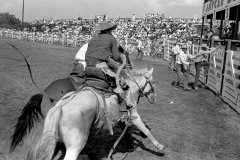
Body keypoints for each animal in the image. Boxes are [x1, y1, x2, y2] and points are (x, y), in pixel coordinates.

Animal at [26, 68, 165, 160]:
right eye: (152, 83)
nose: (154, 99)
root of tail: (59, 107)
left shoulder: (121, 118)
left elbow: (125, 130)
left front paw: (131, 144)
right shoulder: (133, 114)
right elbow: (144, 128)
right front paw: (158, 146)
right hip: (75, 146)